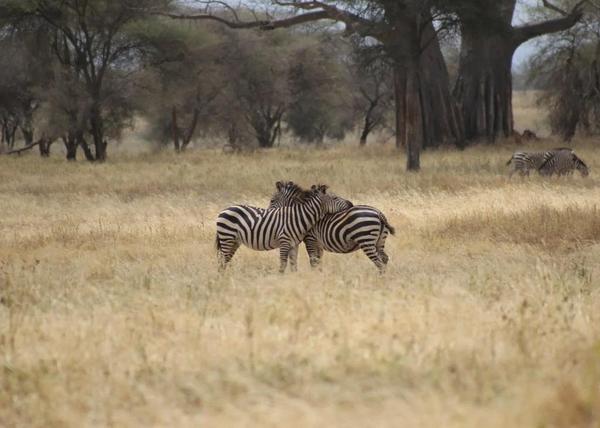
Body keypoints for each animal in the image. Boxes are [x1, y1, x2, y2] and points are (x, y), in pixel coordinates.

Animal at [216, 183, 353, 273]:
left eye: (272, 200)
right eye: (335, 198)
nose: (351, 204)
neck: (299, 217)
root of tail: (225, 209)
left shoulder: (294, 244)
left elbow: (293, 265)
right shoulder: (286, 242)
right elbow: (283, 265)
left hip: (234, 241)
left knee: (225, 259)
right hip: (227, 238)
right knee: (222, 260)